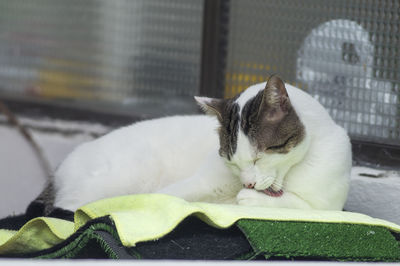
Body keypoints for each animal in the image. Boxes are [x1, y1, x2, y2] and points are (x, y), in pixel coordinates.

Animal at [36, 74, 352, 212]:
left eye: (259, 157)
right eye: (233, 162)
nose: (248, 183)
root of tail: (61, 168)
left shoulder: (328, 208)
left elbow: (301, 207)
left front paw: (248, 198)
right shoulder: (201, 182)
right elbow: (165, 197)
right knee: (73, 206)